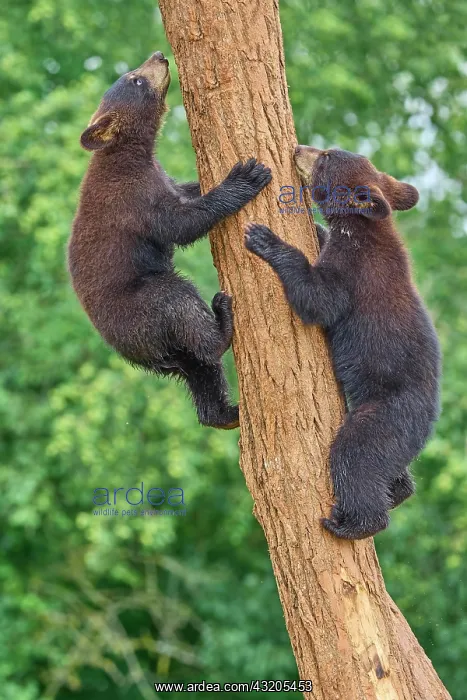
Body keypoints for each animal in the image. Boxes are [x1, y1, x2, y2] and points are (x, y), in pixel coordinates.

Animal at [68, 52, 271, 430]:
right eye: (135, 80)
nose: (160, 56)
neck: (128, 155)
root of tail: (137, 356)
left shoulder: (159, 177)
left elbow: (186, 192)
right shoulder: (132, 199)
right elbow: (180, 223)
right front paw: (246, 176)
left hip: (171, 350)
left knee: (201, 371)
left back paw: (227, 413)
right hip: (145, 305)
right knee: (183, 307)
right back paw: (222, 319)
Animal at [244, 145, 441, 539]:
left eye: (327, 157)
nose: (299, 148)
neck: (361, 227)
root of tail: (429, 419)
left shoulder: (354, 269)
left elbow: (319, 299)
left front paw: (265, 239)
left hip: (387, 414)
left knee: (356, 456)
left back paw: (352, 523)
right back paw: (398, 491)